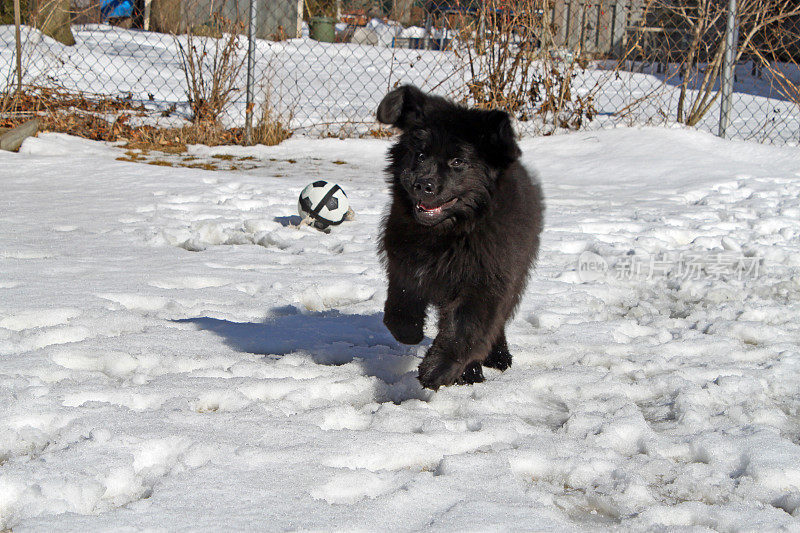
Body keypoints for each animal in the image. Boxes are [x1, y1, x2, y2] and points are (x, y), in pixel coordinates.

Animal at [376, 85, 544, 388]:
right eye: (420, 155)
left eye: (458, 161)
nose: (423, 185)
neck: (449, 233)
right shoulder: (403, 258)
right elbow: (401, 302)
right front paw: (409, 331)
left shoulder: (485, 279)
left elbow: (464, 328)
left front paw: (437, 370)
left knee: (495, 325)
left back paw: (493, 360)